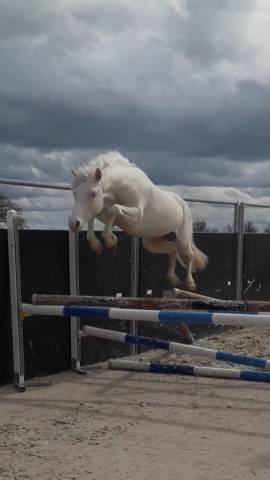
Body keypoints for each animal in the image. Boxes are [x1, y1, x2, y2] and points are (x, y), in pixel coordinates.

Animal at [68, 152, 208, 288]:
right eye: (74, 193)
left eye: (93, 194)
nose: (73, 224)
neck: (123, 186)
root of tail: (183, 204)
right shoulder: (105, 213)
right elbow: (94, 216)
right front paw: (97, 245)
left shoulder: (136, 216)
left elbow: (115, 208)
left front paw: (109, 240)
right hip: (152, 242)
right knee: (172, 250)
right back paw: (173, 279)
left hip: (183, 240)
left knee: (189, 255)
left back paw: (190, 283)